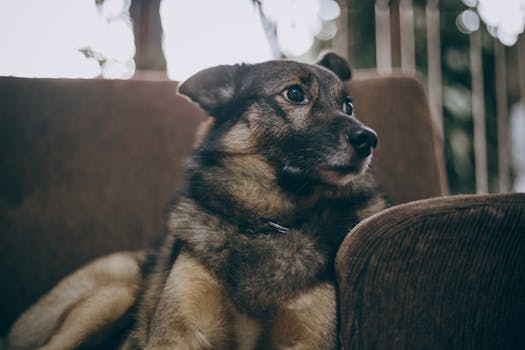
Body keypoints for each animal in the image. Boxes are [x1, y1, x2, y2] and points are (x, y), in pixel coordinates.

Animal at [6, 52, 386, 350]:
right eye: (295, 94)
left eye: (348, 105)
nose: (369, 139)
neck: (269, 221)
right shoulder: (175, 336)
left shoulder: (308, 340)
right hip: (114, 293)